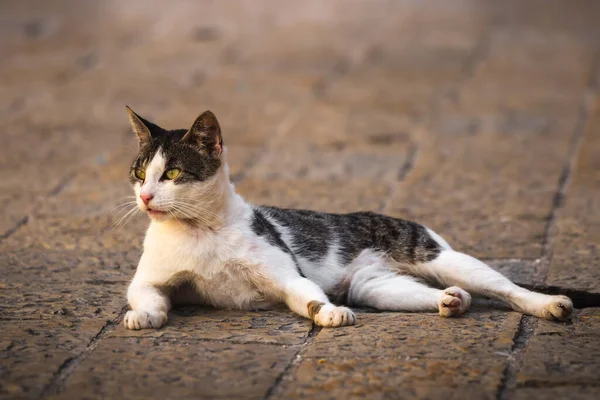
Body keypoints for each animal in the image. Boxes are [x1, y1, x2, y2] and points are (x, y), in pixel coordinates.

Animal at [120, 106, 572, 328]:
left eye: (173, 174)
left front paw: (328, 314)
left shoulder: (287, 277)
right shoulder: (148, 281)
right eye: (140, 173)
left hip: (442, 257)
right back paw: (452, 301)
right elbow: (146, 297)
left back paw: (548, 305)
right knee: (439, 294)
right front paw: (145, 316)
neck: (198, 232)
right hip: (376, 287)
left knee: (507, 288)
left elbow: (309, 298)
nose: (145, 196)